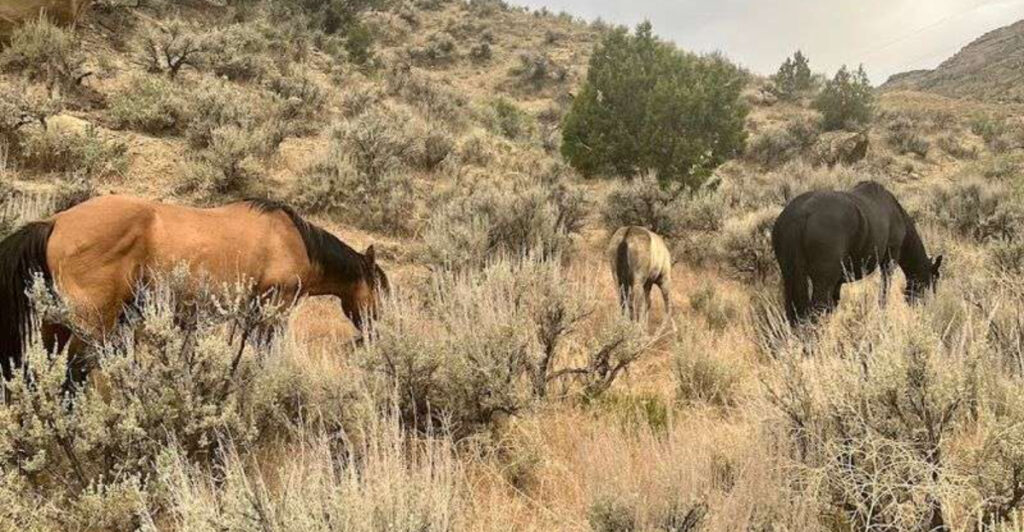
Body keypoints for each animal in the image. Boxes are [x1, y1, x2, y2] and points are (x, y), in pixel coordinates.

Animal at [0, 195, 389, 381]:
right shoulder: (273, 311)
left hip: (55, 325)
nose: (374, 333)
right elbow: (268, 354)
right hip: (91, 325)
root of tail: (55, 222)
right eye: (381, 292)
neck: (293, 241)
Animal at [771, 180, 942, 325]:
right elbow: (884, 290)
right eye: (933, 280)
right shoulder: (889, 260)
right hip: (822, 282)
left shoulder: (838, 282)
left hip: (790, 277)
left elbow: (833, 304)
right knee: (816, 310)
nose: (927, 306)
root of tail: (800, 216)